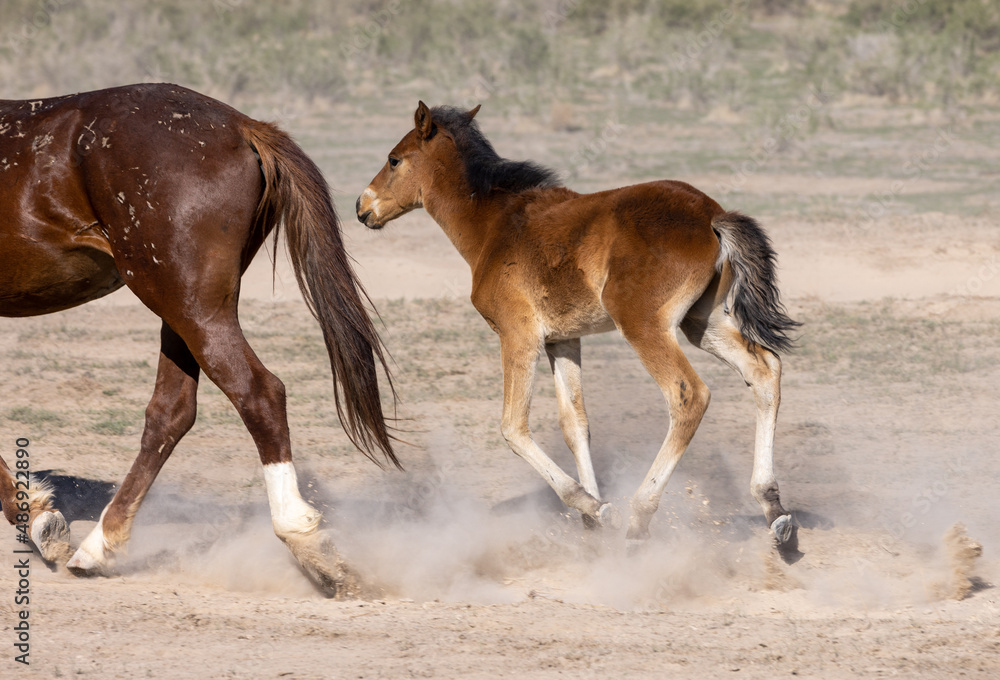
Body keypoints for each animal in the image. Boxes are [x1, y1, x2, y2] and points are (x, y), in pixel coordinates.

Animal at [0, 83, 398, 595]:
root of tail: (243, 126)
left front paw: (38, 521)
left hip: (188, 304)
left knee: (258, 393)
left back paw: (310, 546)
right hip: (180, 306)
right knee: (171, 413)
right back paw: (99, 547)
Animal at [357, 102, 800, 549]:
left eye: (394, 160)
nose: (362, 207)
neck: (495, 227)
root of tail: (713, 215)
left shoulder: (518, 335)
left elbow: (513, 426)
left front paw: (592, 506)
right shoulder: (563, 341)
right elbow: (575, 424)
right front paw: (594, 515)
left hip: (642, 323)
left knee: (689, 394)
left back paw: (640, 516)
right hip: (702, 321)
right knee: (765, 370)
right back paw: (774, 508)